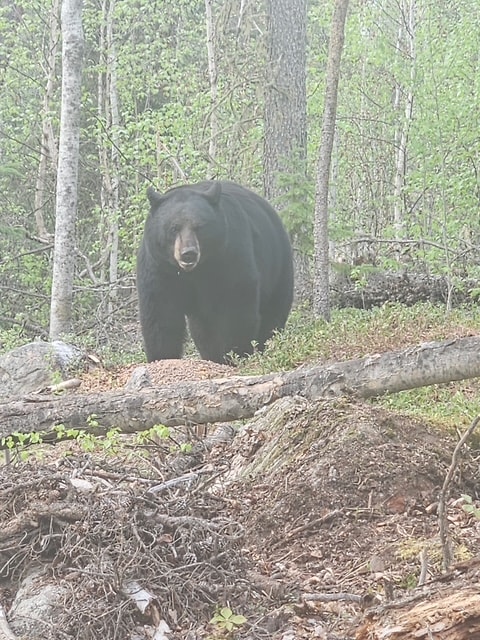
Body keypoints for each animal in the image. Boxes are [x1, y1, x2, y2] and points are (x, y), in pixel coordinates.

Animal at [136, 180, 294, 364]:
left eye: (199, 227)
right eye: (174, 228)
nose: (188, 253)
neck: (195, 272)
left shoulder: (229, 258)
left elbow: (236, 308)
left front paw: (235, 353)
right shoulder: (160, 268)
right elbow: (161, 314)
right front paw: (162, 356)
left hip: (278, 265)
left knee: (273, 314)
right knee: (203, 331)